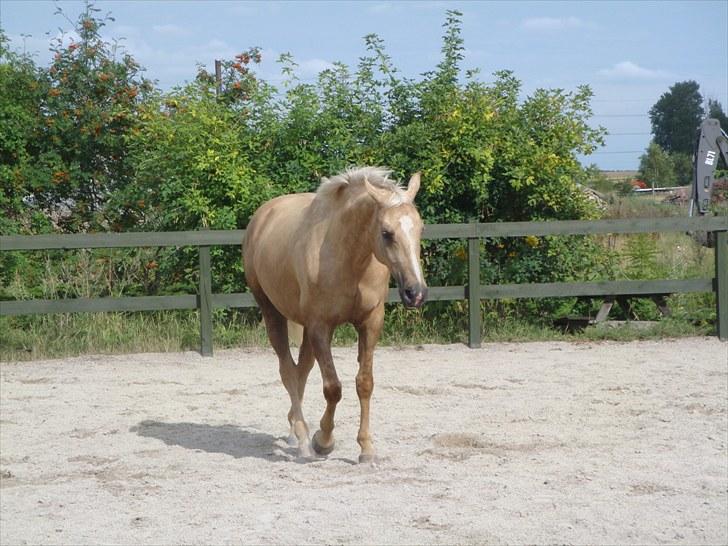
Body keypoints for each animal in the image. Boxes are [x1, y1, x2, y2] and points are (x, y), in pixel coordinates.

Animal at [243, 165, 426, 460]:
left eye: (421, 228)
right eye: (387, 233)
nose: (416, 292)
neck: (349, 258)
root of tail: (262, 216)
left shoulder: (370, 323)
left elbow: (364, 383)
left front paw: (366, 448)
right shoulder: (321, 326)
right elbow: (333, 388)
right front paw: (323, 440)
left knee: (301, 370)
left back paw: (295, 430)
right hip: (273, 314)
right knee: (288, 370)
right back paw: (303, 438)